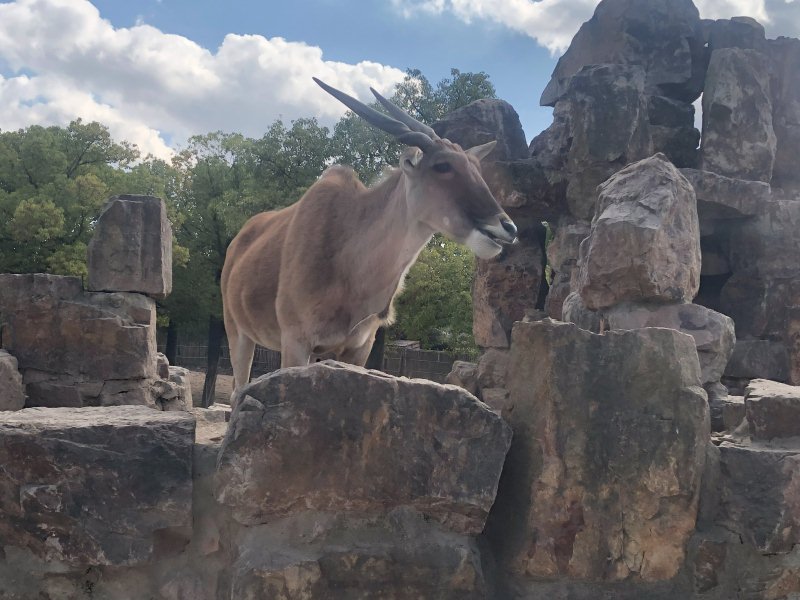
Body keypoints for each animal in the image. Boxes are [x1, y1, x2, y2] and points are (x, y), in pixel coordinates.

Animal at [221, 78, 517, 394]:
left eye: (477, 169)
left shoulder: (357, 348)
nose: (507, 228)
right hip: (238, 333)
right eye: (443, 165)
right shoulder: (295, 340)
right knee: (238, 389)